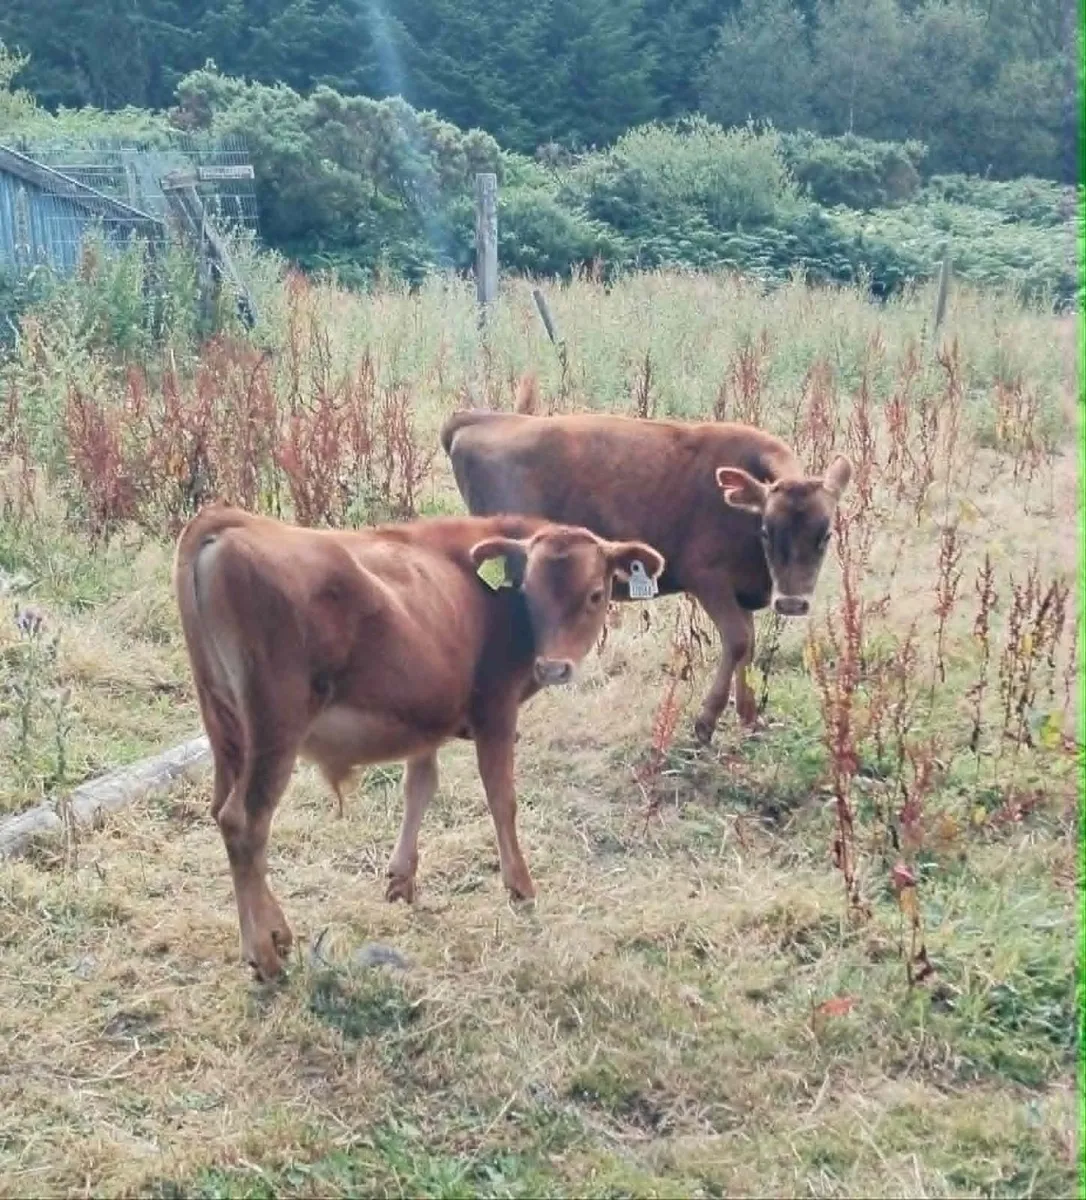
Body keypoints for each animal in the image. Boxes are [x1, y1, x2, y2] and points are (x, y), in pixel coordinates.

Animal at [173, 503, 664, 980]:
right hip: (275, 728)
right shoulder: (496, 709)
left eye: (595, 594)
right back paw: (263, 954)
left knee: (223, 814)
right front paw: (520, 887)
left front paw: (401, 880)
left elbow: (420, 787)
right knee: (245, 822)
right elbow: (501, 799)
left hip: (227, 729)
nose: (553, 667)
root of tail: (231, 521)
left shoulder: (427, 715)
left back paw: (276, 935)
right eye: (529, 592)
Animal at [440, 380, 851, 745]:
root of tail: (483, 418)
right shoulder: (709, 579)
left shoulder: (741, 589)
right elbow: (737, 640)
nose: (792, 603)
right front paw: (706, 721)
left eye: (826, 535)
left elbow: (747, 647)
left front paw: (749, 716)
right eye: (766, 530)